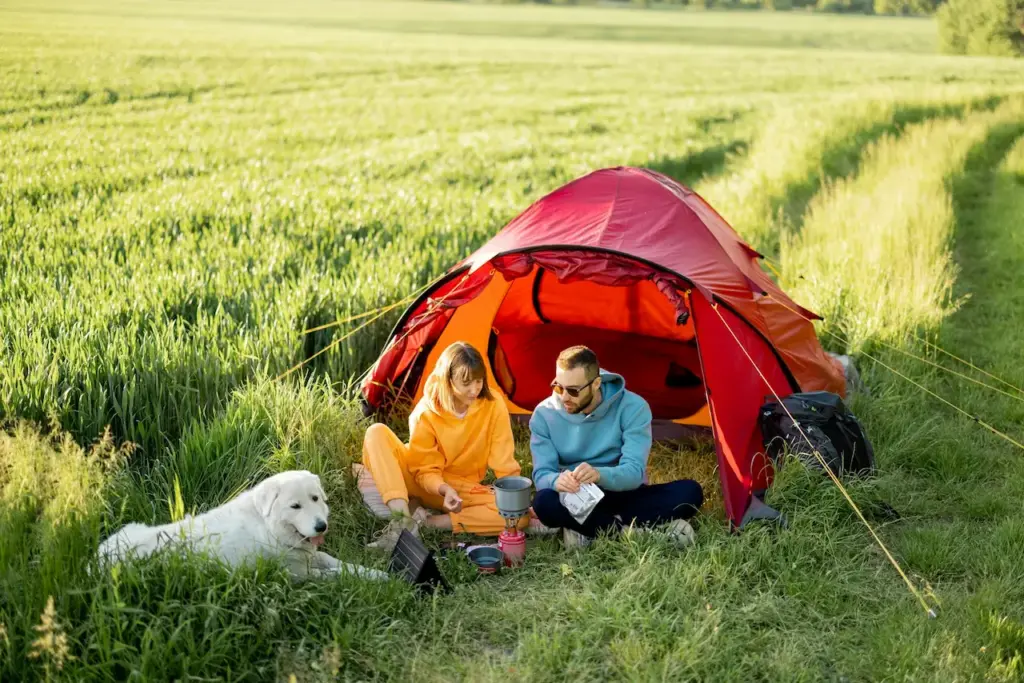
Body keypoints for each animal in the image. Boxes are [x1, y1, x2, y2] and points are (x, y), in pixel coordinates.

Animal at [98, 473, 387, 581]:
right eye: (295, 506)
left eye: (315, 499)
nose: (321, 526)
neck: (268, 526)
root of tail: (98, 558)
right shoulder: (297, 574)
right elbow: (334, 574)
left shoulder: (309, 555)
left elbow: (336, 561)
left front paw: (376, 573)